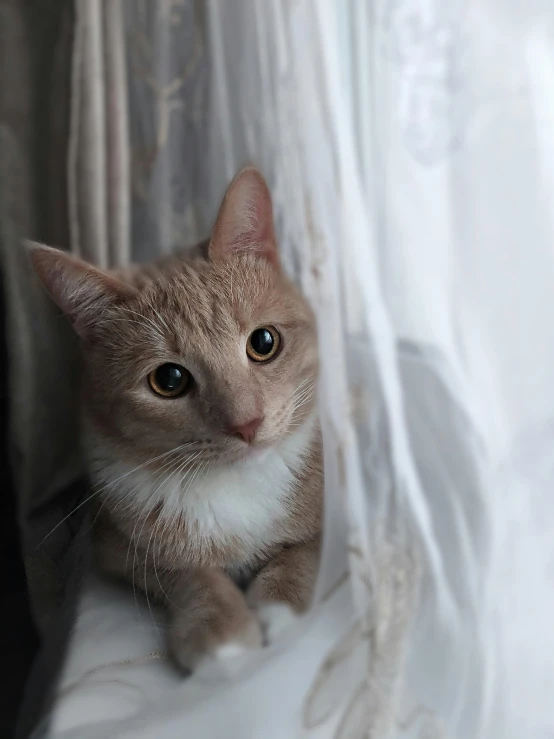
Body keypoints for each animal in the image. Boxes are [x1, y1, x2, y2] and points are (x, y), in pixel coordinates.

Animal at [29, 166, 324, 672]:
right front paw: (221, 628)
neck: (235, 485)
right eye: (169, 379)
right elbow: (187, 571)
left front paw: (277, 609)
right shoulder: (116, 545)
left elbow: (297, 553)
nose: (247, 424)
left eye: (264, 342)